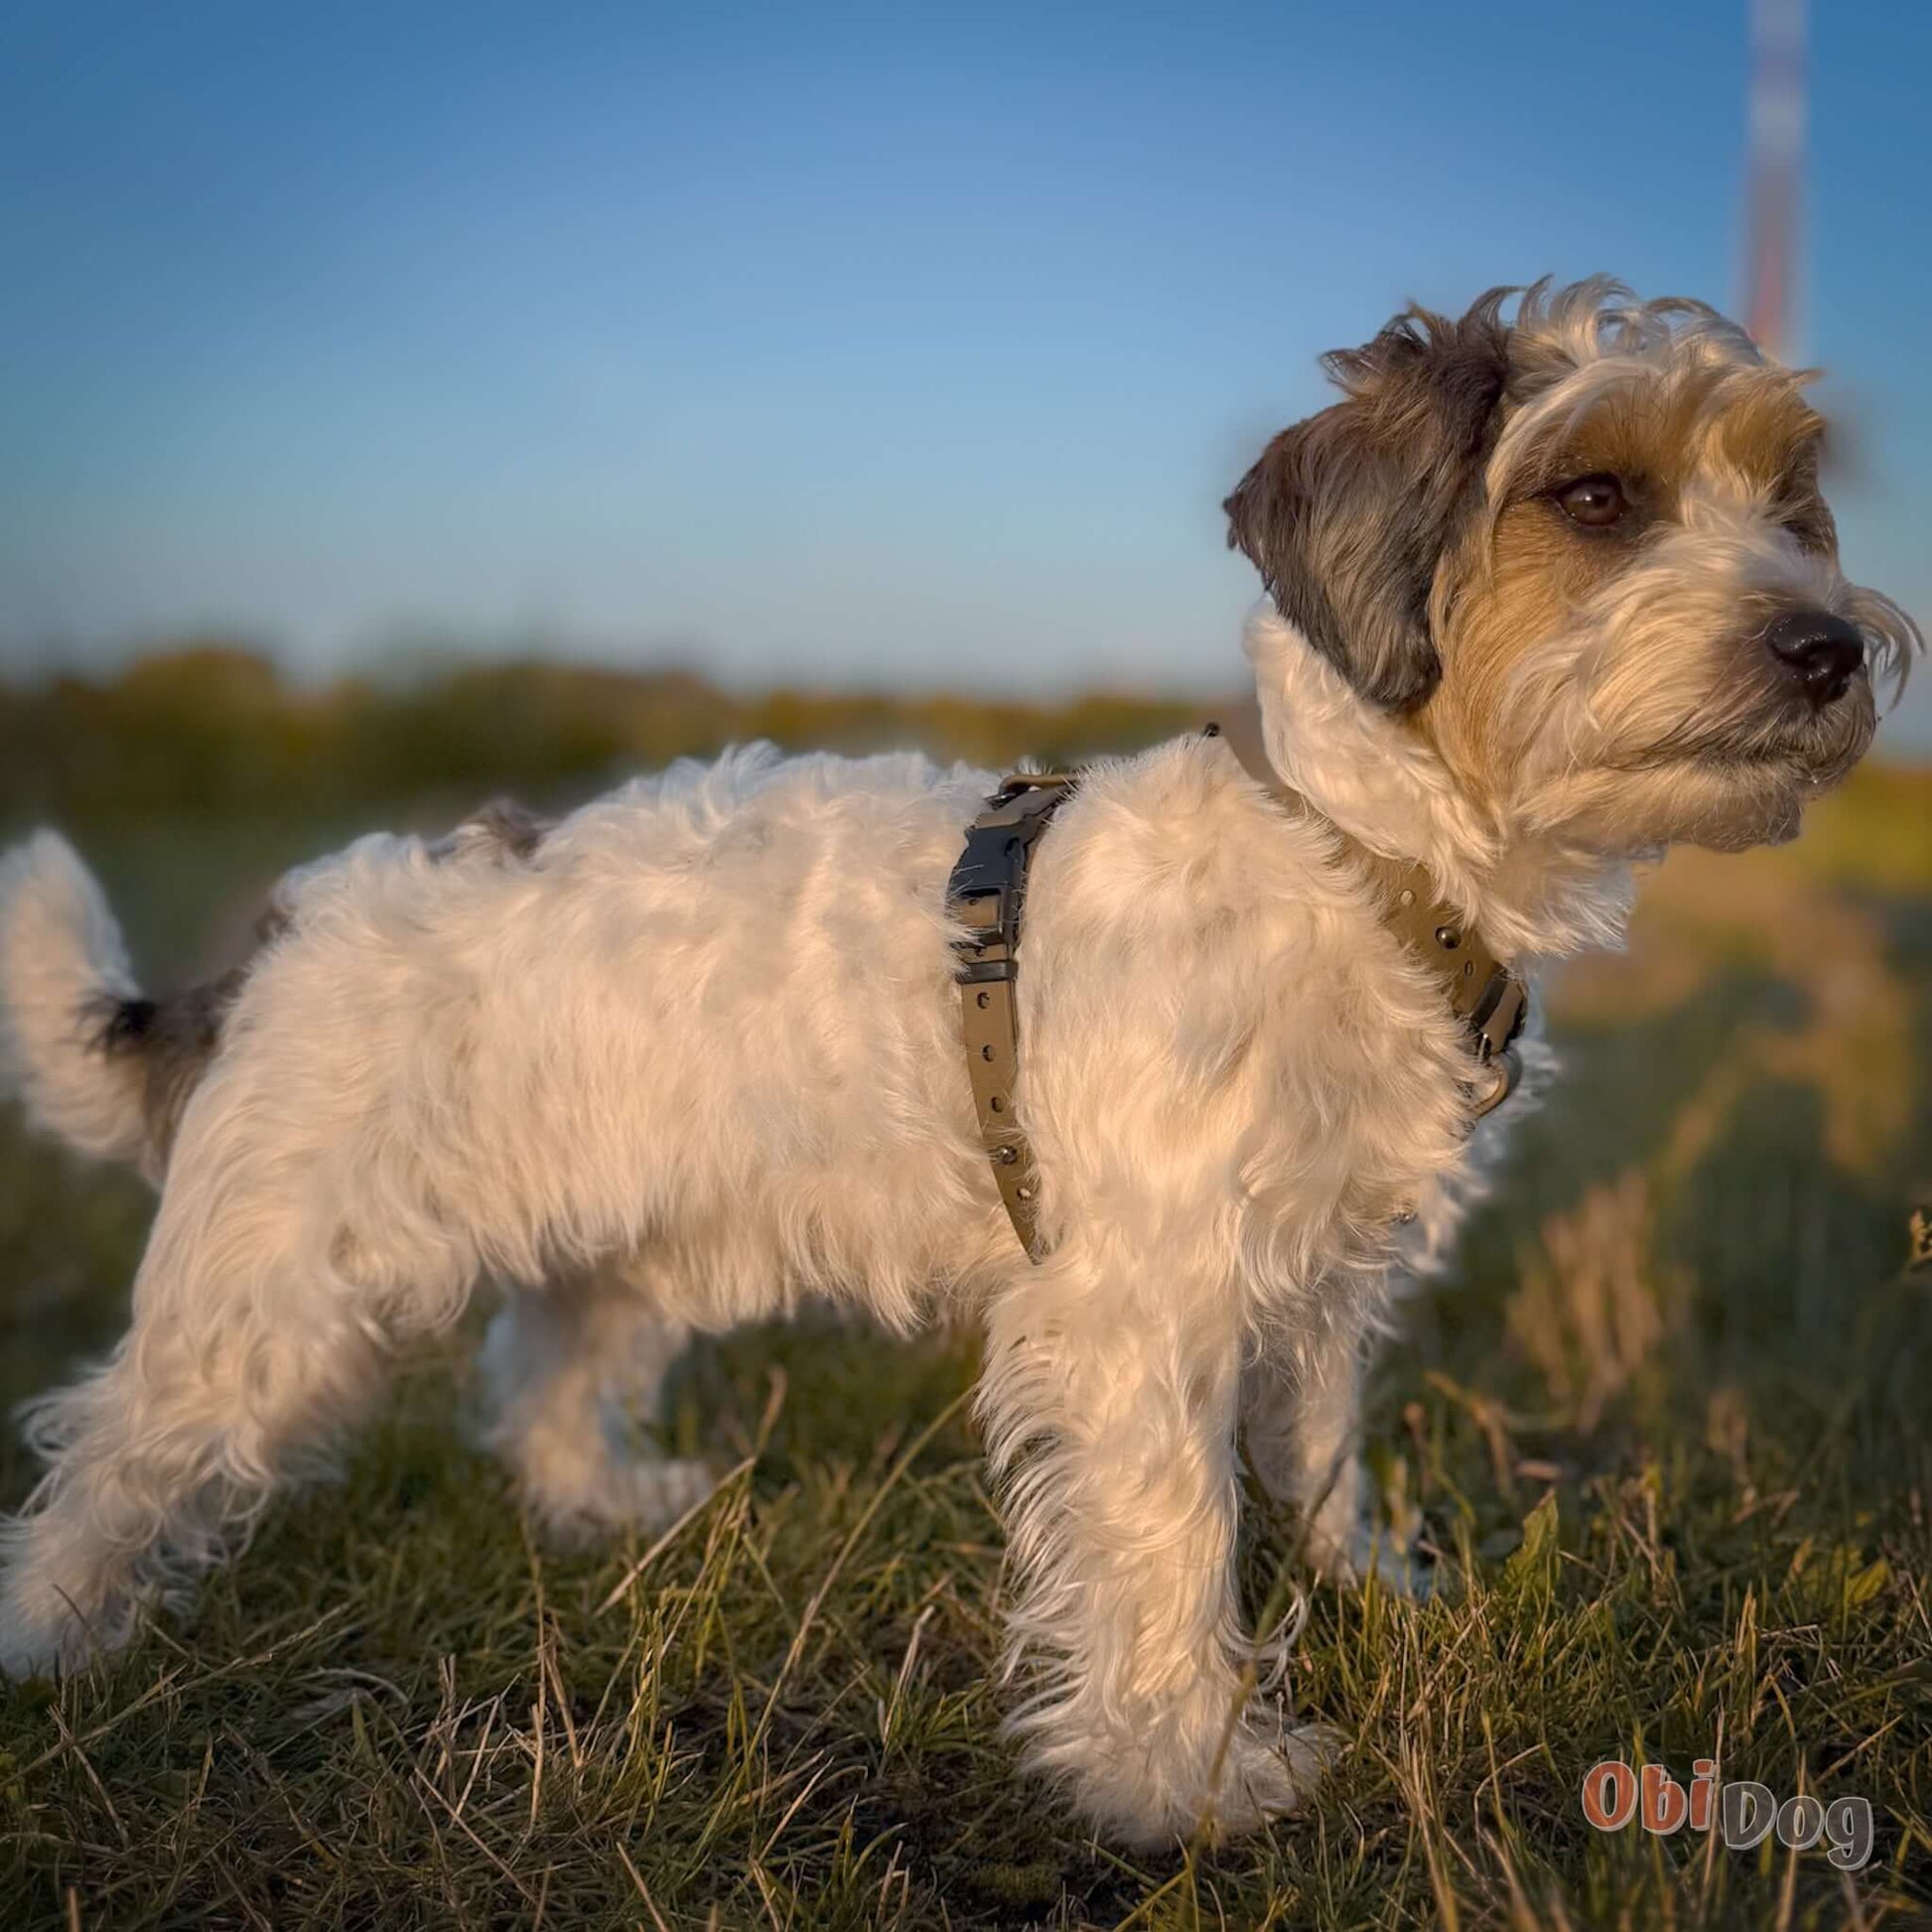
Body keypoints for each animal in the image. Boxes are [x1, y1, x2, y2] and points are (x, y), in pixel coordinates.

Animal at [0, 280, 1908, 1847]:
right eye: (1594, 498)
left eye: (1791, 500)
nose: (1828, 648)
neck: (1352, 862)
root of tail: (288, 930)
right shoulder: (1141, 1308)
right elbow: (1174, 1540)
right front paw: (1184, 1776)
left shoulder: (1313, 1279)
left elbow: (1318, 1455)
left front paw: (1375, 1587)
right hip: (269, 1298)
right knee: (112, 1452)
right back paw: (46, 1640)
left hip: (619, 1240)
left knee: (541, 1372)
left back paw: (610, 1506)